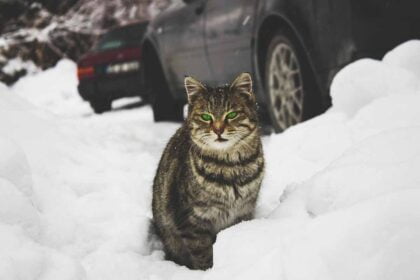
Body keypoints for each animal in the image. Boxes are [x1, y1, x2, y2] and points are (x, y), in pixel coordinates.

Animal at [151, 73, 264, 270]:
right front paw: (208, 271)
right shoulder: (192, 221)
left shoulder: (244, 212)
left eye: (231, 114)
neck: (231, 167)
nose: (218, 129)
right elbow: (203, 254)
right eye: (205, 116)